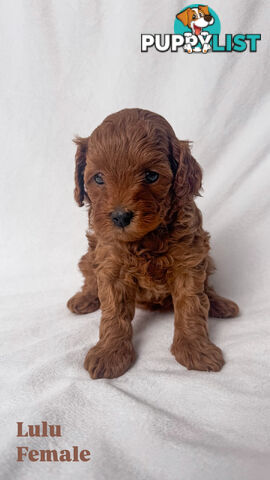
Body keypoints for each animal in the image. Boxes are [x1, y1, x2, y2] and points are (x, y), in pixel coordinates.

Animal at [67, 108, 238, 378]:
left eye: (151, 175)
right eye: (98, 178)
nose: (120, 216)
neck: (145, 239)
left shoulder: (189, 261)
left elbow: (192, 305)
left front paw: (195, 350)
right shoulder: (111, 266)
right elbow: (113, 313)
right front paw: (110, 354)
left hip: (206, 257)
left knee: (207, 289)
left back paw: (220, 304)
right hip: (89, 255)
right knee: (90, 278)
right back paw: (85, 299)